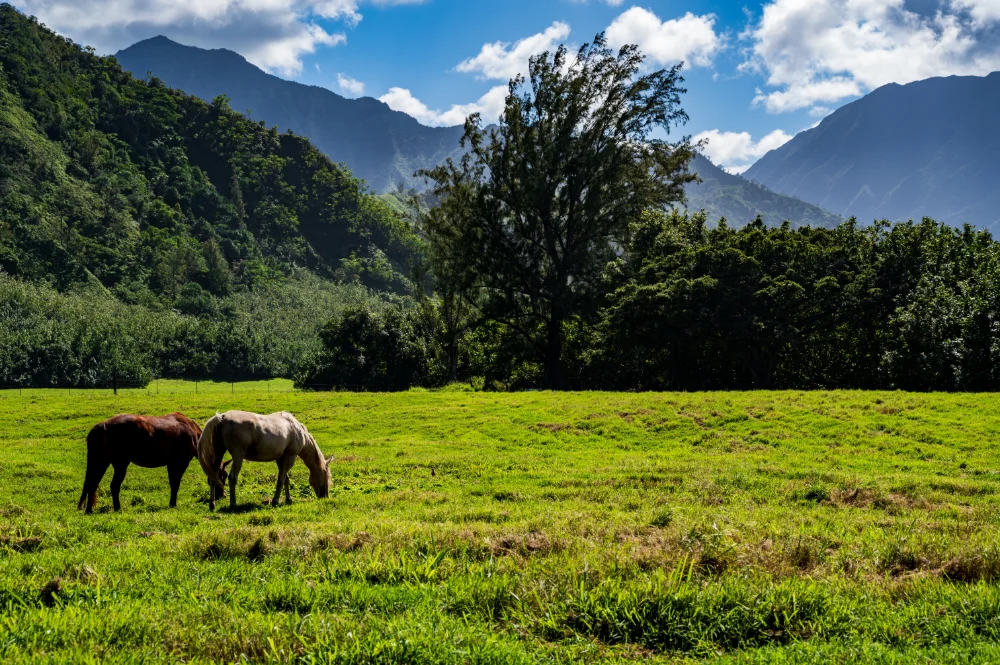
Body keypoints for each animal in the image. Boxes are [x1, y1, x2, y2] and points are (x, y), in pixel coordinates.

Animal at [196, 411, 332, 511]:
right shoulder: (290, 457)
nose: (325, 496)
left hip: (219, 454)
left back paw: (212, 505)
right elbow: (281, 480)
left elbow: (286, 479)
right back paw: (233, 504)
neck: (296, 428)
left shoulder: (281, 459)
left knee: (213, 477)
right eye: (325, 476)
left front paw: (288, 499)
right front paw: (275, 501)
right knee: (232, 478)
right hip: (238, 456)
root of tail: (222, 416)